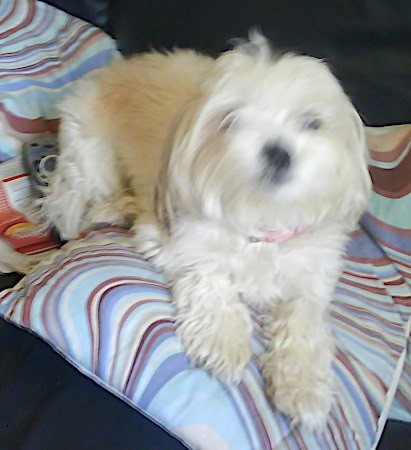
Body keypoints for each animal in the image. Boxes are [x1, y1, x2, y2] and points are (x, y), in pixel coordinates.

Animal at [35, 32, 372, 428]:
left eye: (312, 123)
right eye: (232, 119)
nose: (279, 152)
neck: (260, 216)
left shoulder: (310, 278)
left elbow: (303, 321)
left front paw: (304, 388)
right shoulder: (173, 243)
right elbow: (211, 279)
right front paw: (223, 341)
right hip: (92, 163)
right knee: (83, 201)